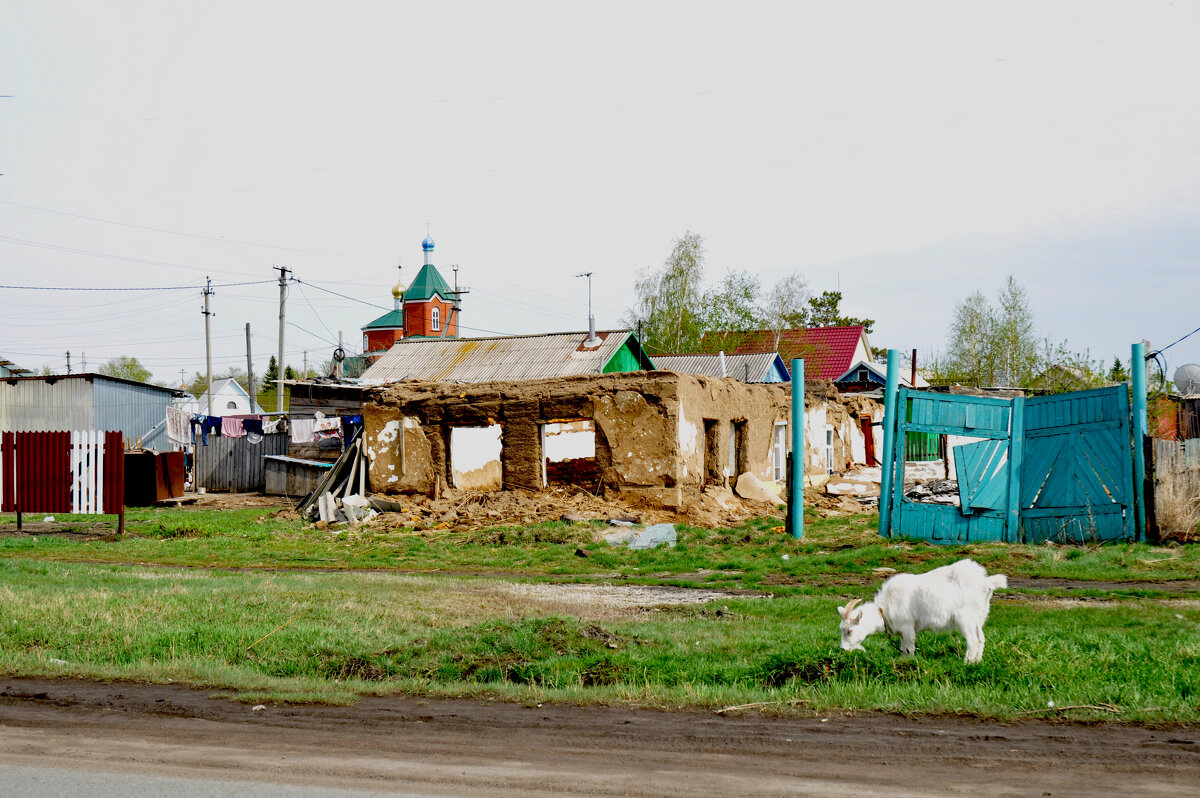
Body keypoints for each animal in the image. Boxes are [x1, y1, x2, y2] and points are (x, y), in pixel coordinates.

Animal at [840, 556, 1008, 662]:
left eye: (850, 630)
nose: (843, 650)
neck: (883, 609)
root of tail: (985, 582)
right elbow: (903, 649)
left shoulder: (907, 627)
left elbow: (909, 648)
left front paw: (909, 664)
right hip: (978, 617)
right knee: (981, 638)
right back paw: (976, 663)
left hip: (965, 618)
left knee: (973, 640)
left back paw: (966, 663)